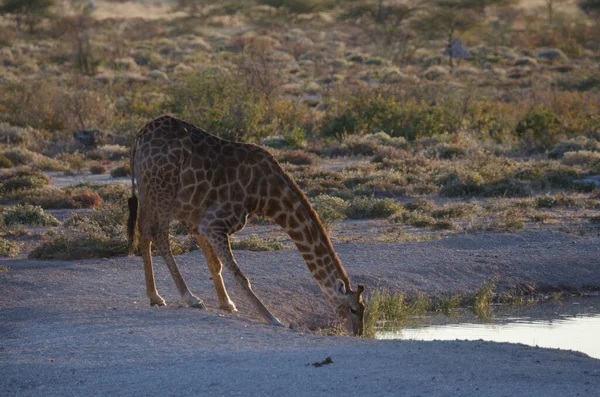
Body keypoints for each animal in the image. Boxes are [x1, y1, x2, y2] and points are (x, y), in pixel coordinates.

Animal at [127, 114, 366, 334]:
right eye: (353, 309)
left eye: (363, 309)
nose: (357, 333)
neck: (266, 195)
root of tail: (138, 139)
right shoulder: (214, 222)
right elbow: (240, 276)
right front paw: (272, 318)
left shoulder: (198, 218)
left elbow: (215, 264)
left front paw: (227, 303)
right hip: (162, 191)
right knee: (159, 235)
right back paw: (190, 298)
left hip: (149, 192)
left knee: (144, 230)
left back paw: (155, 296)